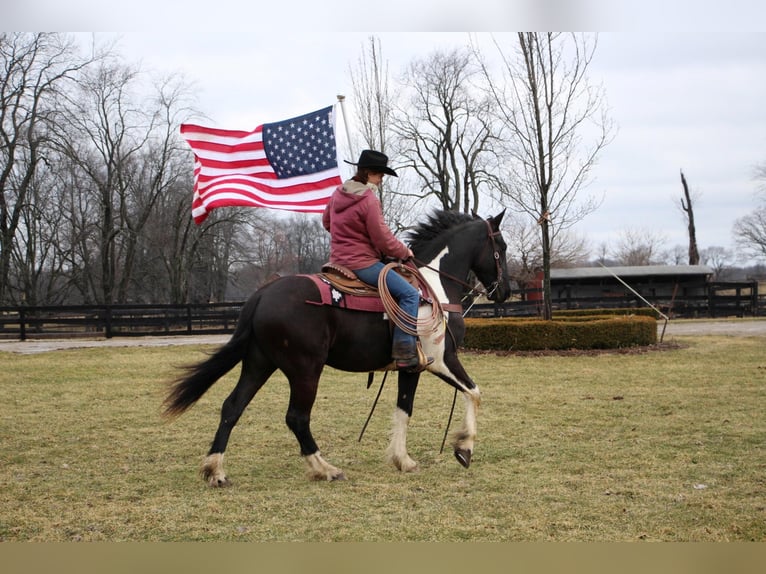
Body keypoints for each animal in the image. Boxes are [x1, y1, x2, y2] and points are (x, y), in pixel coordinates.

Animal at [164, 210, 510, 486]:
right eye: (502, 247)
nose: (504, 291)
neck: (433, 288)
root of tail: (262, 295)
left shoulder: (412, 368)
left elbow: (404, 410)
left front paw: (403, 460)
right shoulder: (442, 360)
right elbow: (474, 392)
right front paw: (464, 448)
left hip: (258, 363)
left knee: (232, 407)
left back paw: (215, 471)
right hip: (305, 370)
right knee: (296, 418)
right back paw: (325, 468)